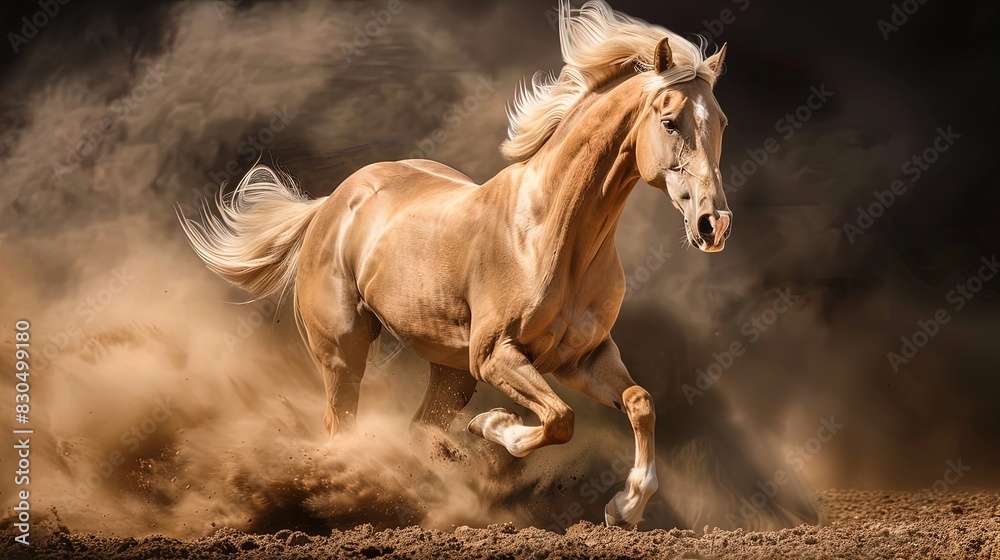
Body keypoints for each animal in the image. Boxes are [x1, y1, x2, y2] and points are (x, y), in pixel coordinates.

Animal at [179, 0, 732, 529]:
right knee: (342, 429)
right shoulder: (493, 356)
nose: (714, 224)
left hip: (449, 371)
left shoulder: (583, 359)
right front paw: (493, 427)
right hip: (345, 353)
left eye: (721, 123)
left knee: (417, 426)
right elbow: (559, 419)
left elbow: (639, 402)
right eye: (669, 121)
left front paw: (626, 507)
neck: (552, 234)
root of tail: (330, 205)